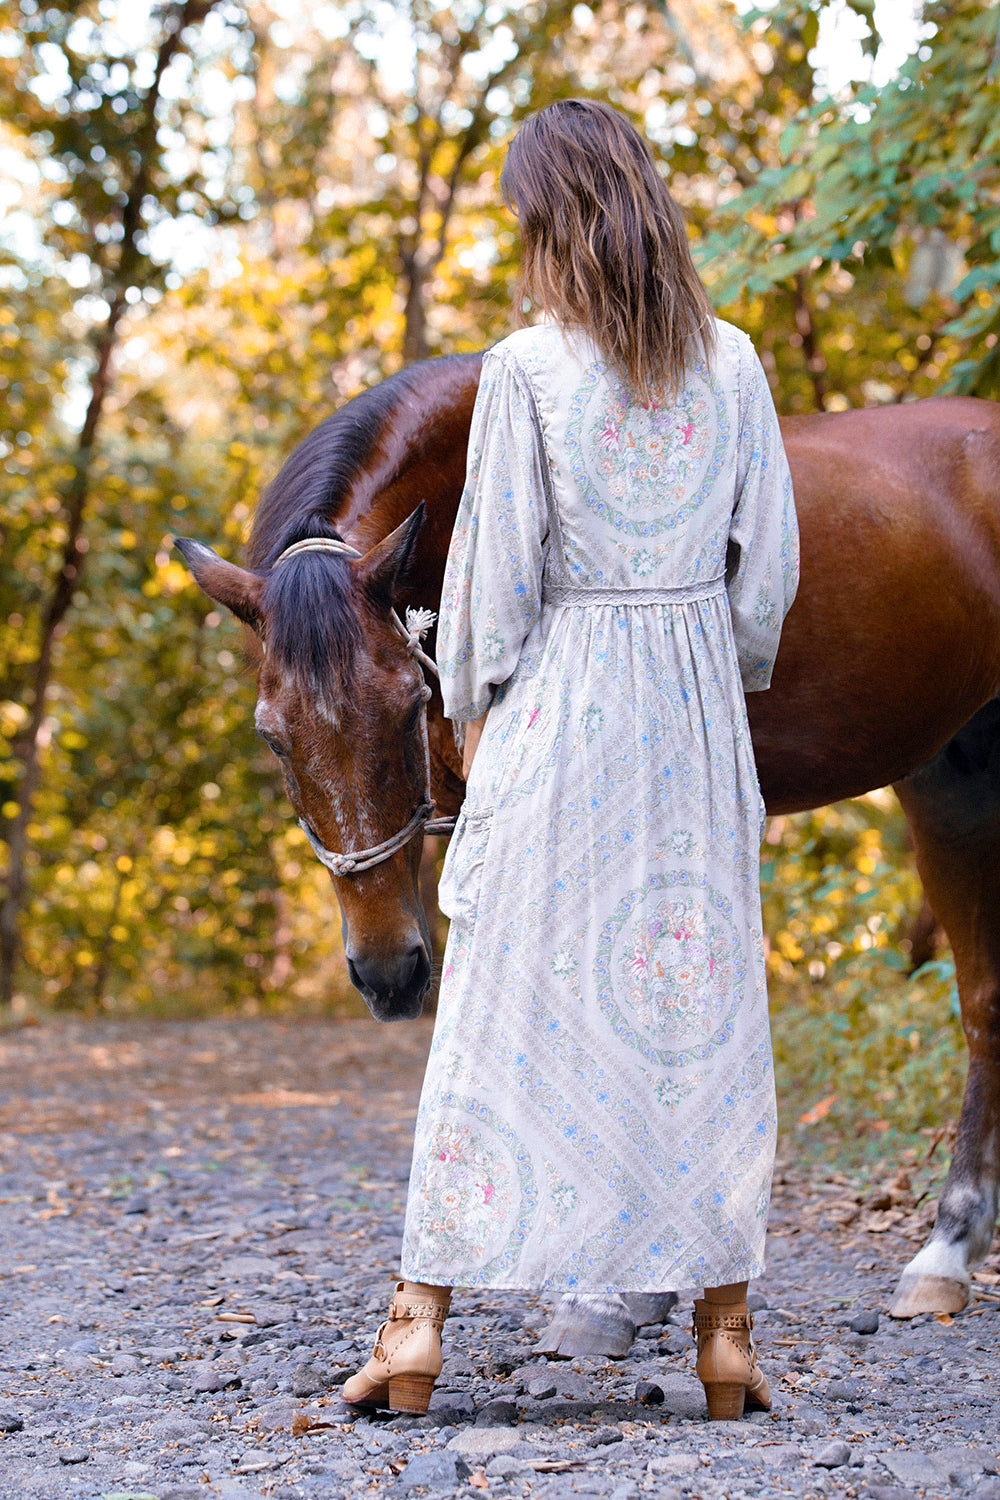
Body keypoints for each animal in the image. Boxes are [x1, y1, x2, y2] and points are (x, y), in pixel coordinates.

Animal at [176, 357, 1000, 1332]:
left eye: (406, 706)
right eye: (273, 737)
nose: (386, 974)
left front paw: (621, 1283)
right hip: (952, 780)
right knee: (986, 1000)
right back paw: (951, 1247)